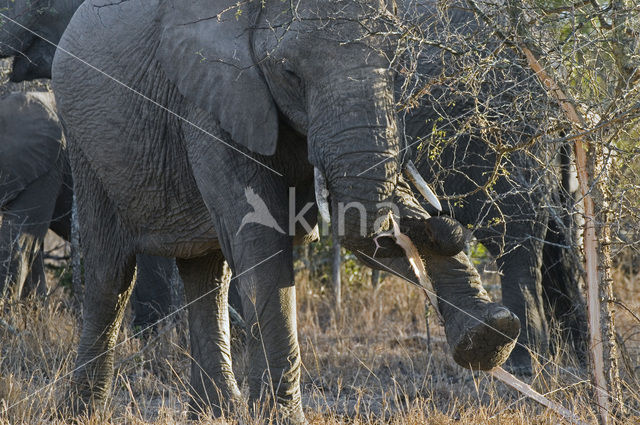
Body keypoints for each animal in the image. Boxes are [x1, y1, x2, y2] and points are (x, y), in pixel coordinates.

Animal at [51, 0, 520, 420]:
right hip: (85, 144)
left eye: (398, 67)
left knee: (207, 276)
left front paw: (491, 335)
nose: (443, 226)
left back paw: (216, 414)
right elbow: (261, 240)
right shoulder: (211, 100)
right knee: (111, 273)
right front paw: (279, 416)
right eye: (289, 72)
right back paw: (81, 413)